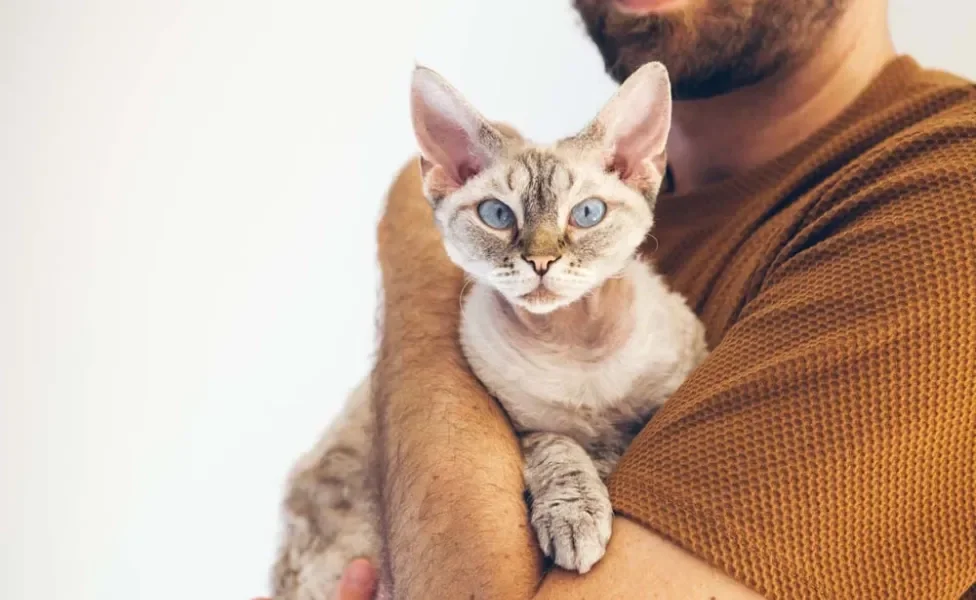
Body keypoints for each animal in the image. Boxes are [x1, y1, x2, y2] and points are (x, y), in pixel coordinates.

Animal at [270, 62, 704, 600]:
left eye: (587, 214)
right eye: (497, 215)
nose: (540, 261)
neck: (576, 348)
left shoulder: (672, 383)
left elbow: (632, 430)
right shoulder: (525, 426)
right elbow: (561, 452)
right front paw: (576, 515)